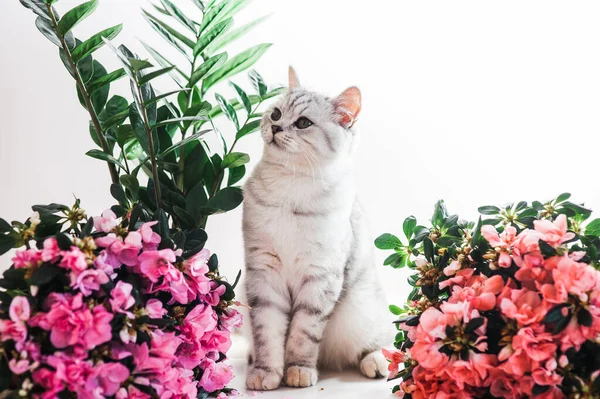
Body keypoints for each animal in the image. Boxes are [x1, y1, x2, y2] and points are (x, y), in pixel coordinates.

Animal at [244, 69, 390, 390]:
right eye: (276, 113)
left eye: (303, 123)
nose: (276, 127)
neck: (289, 185)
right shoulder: (263, 273)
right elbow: (267, 333)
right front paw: (265, 372)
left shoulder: (319, 276)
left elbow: (303, 334)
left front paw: (298, 370)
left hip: (363, 308)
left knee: (381, 340)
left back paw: (377, 362)